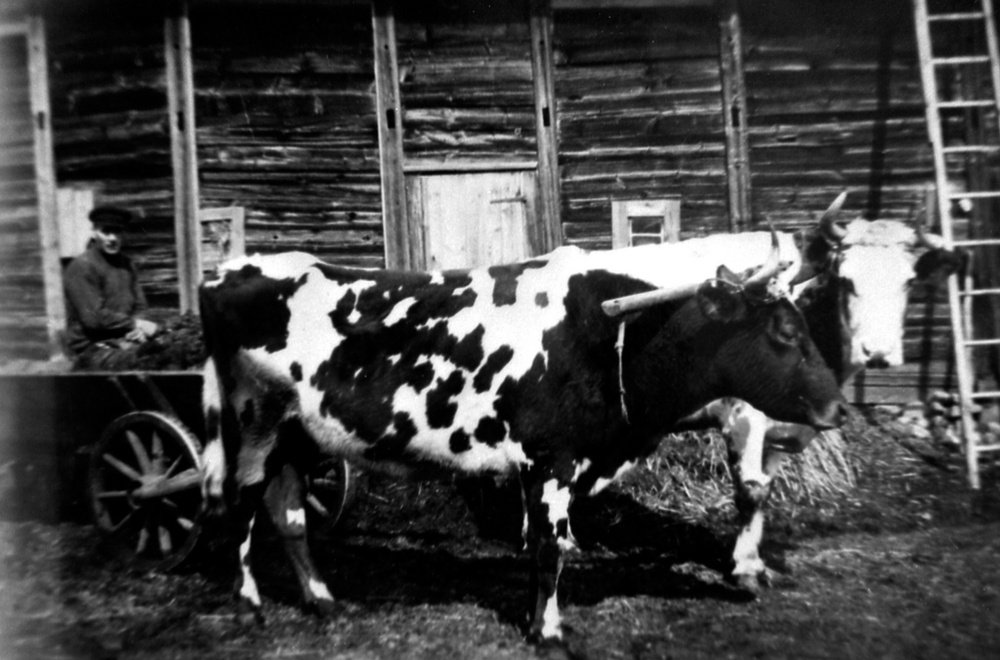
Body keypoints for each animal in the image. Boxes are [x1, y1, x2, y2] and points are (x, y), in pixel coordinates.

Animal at [197, 235, 844, 640]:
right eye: (785, 331)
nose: (838, 406)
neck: (611, 336)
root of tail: (230, 270)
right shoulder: (552, 458)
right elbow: (549, 548)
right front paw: (548, 630)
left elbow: (547, 545)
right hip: (254, 424)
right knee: (240, 506)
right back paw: (250, 603)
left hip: (297, 436)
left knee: (288, 514)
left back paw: (322, 598)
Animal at [680, 193, 960, 592]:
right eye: (847, 280)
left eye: (909, 282)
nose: (877, 352)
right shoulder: (742, 418)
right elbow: (750, 489)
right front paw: (745, 571)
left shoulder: (778, 430)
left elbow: (766, 489)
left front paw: (754, 562)